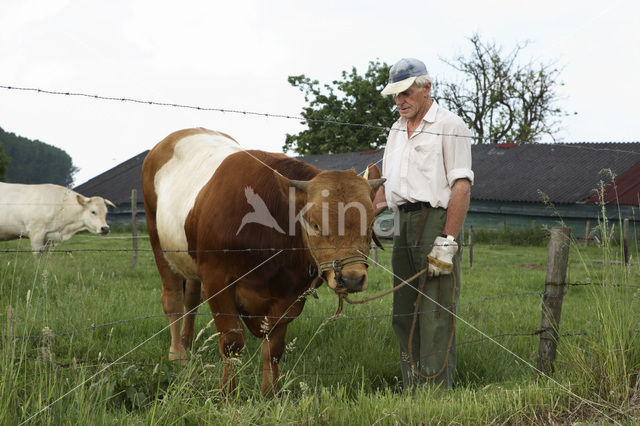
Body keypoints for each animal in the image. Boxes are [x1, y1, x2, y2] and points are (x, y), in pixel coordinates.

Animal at [144, 126, 384, 396]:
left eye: (371, 224)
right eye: (314, 224)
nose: (352, 278)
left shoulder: (290, 294)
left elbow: (274, 348)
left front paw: (271, 394)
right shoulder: (217, 280)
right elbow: (232, 342)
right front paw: (228, 394)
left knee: (191, 300)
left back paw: (187, 343)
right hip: (158, 243)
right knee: (173, 300)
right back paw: (178, 355)